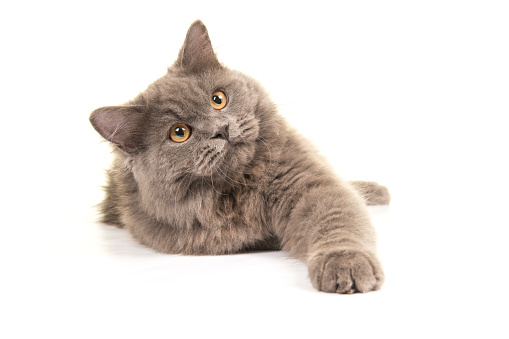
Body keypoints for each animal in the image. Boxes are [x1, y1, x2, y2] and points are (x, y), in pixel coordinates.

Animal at [89, 19, 388, 294]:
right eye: (179, 133)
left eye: (218, 99)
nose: (220, 129)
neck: (242, 182)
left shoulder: (307, 183)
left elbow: (336, 218)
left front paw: (346, 263)